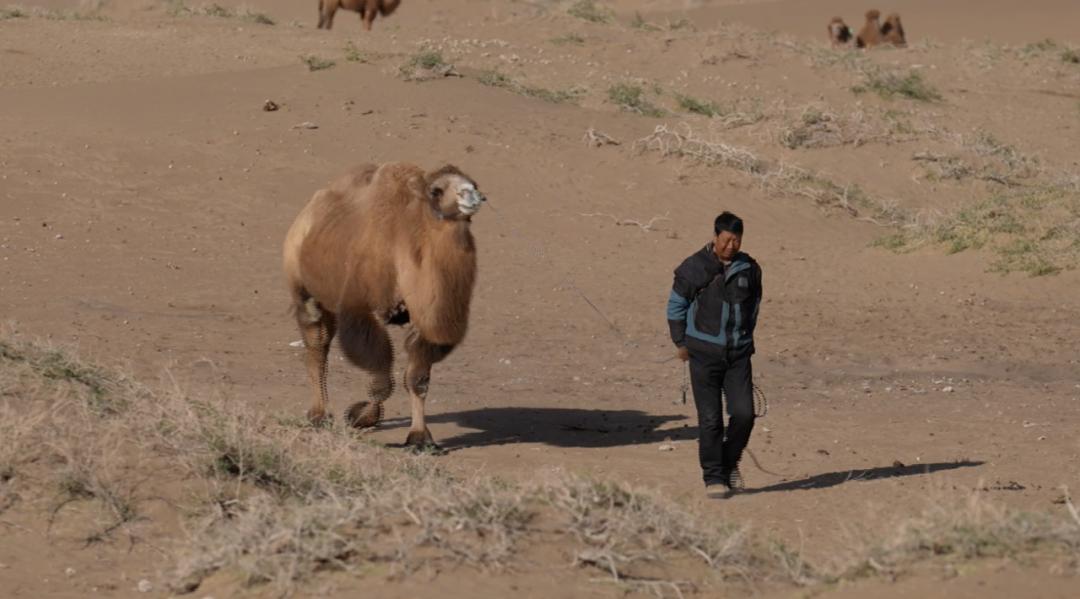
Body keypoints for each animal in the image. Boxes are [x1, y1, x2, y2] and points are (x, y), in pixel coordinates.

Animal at [287, 160, 490, 448]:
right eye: (436, 190)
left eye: (474, 183)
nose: (473, 196)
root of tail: (308, 212)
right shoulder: (361, 309)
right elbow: (381, 372)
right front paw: (361, 416)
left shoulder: (423, 319)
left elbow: (417, 379)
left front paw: (420, 439)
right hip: (301, 286)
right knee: (317, 344)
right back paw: (319, 416)